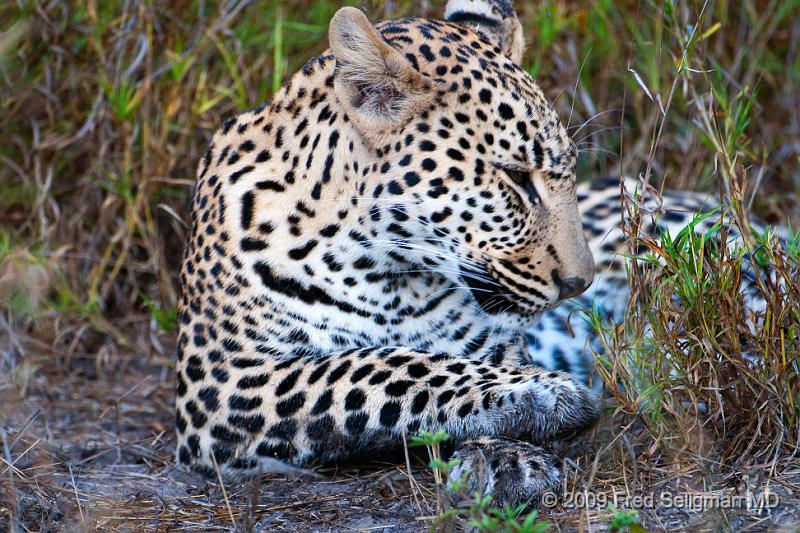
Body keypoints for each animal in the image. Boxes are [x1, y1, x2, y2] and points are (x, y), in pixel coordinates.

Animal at [173, 0, 776, 502]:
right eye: (516, 178)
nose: (578, 283)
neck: (385, 270)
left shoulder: (493, 344)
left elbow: (442, 365)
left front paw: (510, 448)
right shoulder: (224, 383)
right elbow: (375, 366)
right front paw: (542, 396)